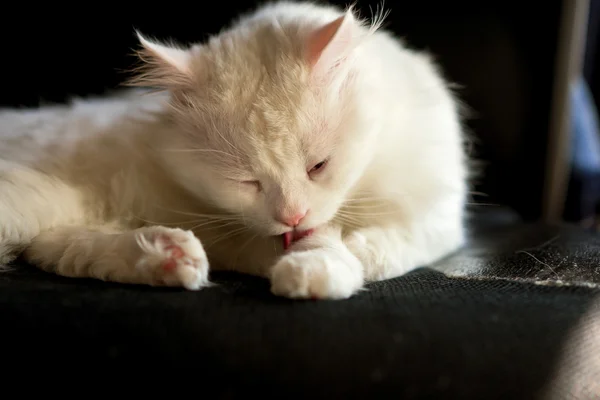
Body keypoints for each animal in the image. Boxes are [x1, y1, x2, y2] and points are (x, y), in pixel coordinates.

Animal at [0, 0, 468, 300]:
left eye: (318, 166)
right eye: (247, 181)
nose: (292, 216)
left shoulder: (436, 215)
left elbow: (379, 244)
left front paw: (314, 270)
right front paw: (313, 267)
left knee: (62, 250)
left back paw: (171, 257)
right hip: (37, 201)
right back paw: (174, 255)